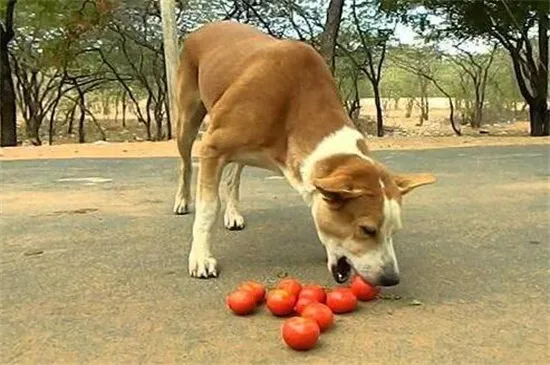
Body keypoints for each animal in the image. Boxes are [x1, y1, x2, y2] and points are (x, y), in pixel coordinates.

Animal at [175, 21, 438, 286]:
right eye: (367, 229)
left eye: (394, 231)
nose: (391, 278)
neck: (293, 103)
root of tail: (208, 26)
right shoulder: (212, 148)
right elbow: (208, 209)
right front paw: (201, 258)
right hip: (187, 120)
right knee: (186, 164)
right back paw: (182, 201)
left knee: (233, 177)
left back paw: (233, 213)